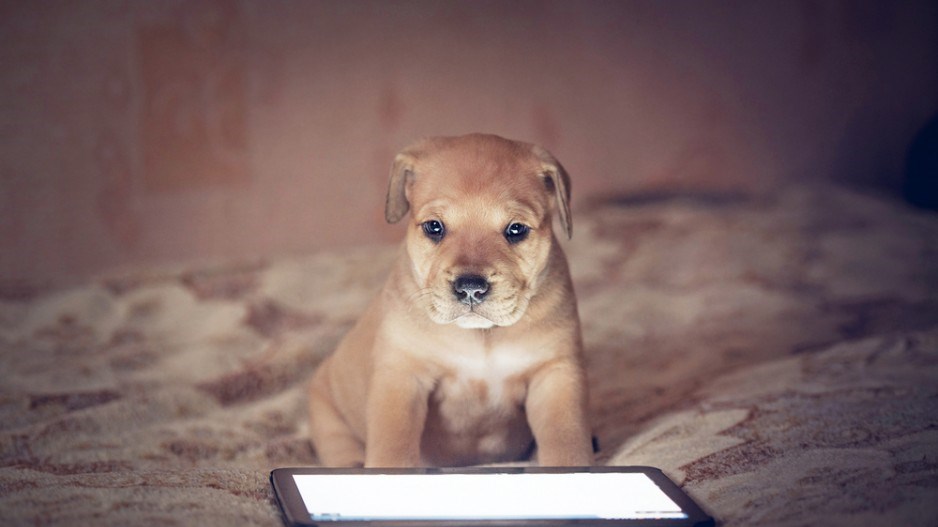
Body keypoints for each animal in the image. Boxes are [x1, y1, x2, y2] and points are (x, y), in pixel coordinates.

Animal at [308, 134, 592, 468]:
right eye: (434, 227)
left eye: (516, 229)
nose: (470, 287)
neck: (481, 336)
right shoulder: (401, 377)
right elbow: (392, 446)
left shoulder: (555, 376)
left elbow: (565, 440)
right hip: (326, 410)